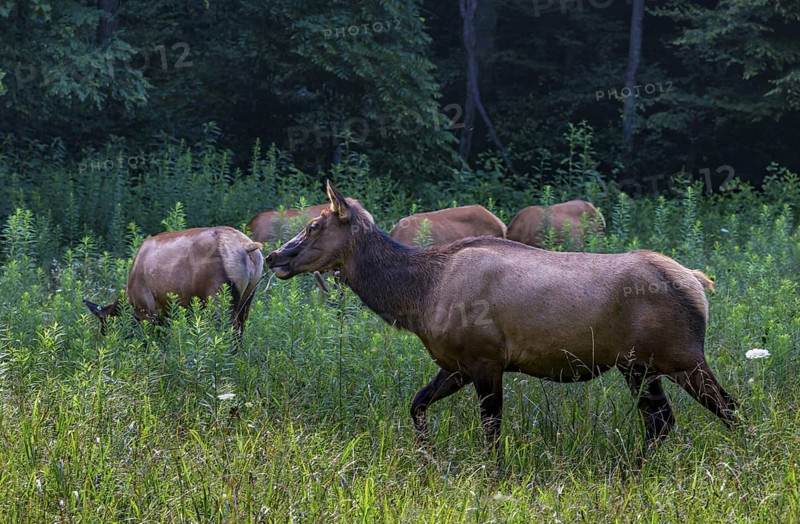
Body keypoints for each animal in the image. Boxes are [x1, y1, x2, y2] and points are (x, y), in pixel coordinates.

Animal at [84, 226, 264, 346]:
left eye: (105, 327)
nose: (107, 343)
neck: (129, 297)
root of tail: (247, 248)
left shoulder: (146, 309)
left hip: (219, 297)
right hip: (248, 297)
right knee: (240, 332)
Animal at [266, 182, 737, 453]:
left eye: (313, 226)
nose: (274, 256)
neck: (419, 296)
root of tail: (699, 283)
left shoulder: (486, 359)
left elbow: (491, 434)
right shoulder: (455, 364)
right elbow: (416, 405)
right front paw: (425, 457)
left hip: (681, 355)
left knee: (728, 408)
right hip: (638, 366)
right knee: (661, 422)